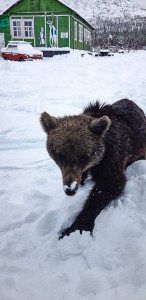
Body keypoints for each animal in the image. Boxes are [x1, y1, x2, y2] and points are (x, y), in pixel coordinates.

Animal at [40, 99, 146, 239]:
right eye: (60, 155)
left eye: (82, 156)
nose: (70, 189)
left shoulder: (111, 157)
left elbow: (109, 185)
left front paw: (74, 228)